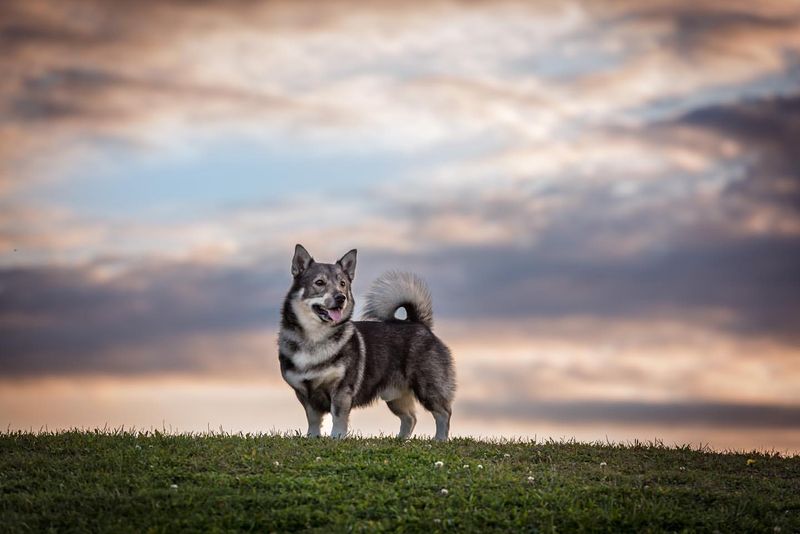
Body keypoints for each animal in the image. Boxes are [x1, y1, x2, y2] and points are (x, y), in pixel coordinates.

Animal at [276, 245, 456, 442]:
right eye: (319, 282)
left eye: (343, 284)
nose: (341, 297)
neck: (315, 338)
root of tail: (419, 324)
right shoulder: (305, 394)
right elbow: (314, 420)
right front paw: (313, 437)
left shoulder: (342, 390)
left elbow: (338, 417)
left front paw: (337, 438)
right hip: (395, 396)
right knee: (410, 418)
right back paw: (400, 440)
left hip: (428, 388)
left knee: (443, 413)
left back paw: (440, 439)